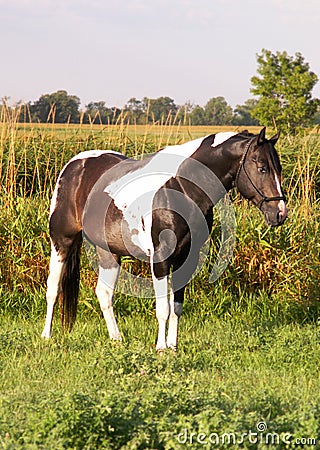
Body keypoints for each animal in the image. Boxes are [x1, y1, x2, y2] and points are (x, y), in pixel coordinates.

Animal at [42, 126, 288, 352]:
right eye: (262, 168)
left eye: (279, 168)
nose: (280, 213)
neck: (181, 187)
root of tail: (75, 165)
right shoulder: (160, 259)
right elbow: (163, 308)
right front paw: (161, 347)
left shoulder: (186, 259)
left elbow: (176, 306)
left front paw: (173, 346)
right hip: (61, 242)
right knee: (53, 288)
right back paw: (47, 336)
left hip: (108, 251)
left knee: (104, 294)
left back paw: (116, 339)